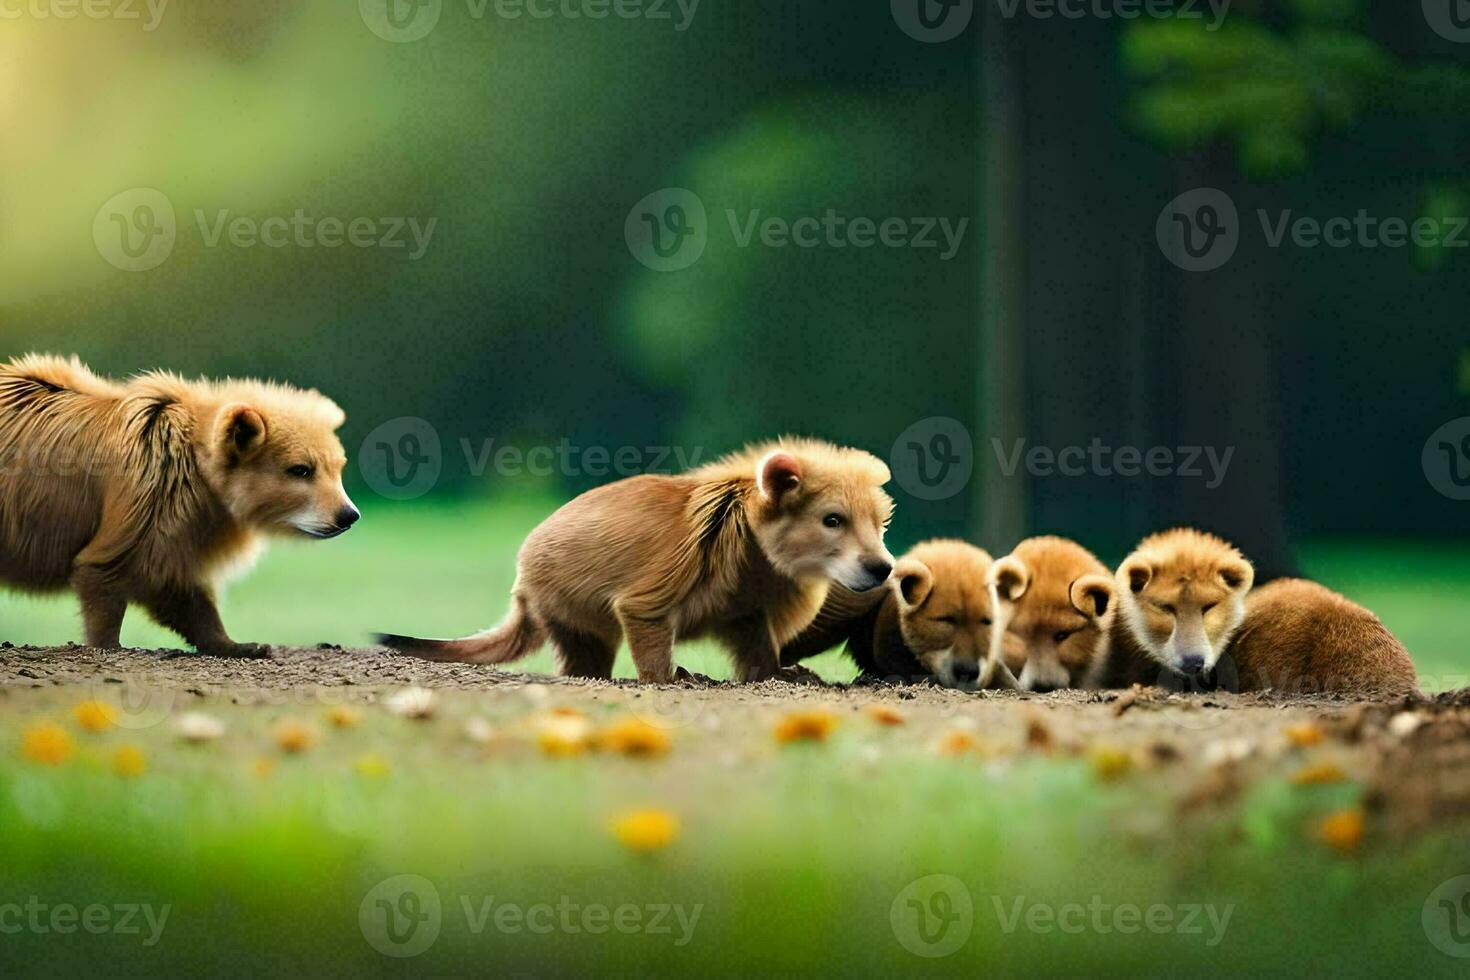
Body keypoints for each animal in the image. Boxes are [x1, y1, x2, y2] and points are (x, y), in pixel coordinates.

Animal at [0, 354, 355, 658]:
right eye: (301, 469)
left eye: (337, 466)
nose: (348, 515)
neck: (202, 479)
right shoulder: (147, 495)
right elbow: (104, 572)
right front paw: (107, 641)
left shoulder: (176, 525)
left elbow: (181, 592)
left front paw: (239, 644)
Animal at [376, 437, 893, 681]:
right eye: (832, 519)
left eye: (881, 522)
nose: (883, 568)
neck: (756, 554)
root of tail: (522, 586)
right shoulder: (653, 595)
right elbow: (651, 638)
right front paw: (674, 678)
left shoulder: (747, 613)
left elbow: (759, 653)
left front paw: (786, 674)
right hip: (575, 618)